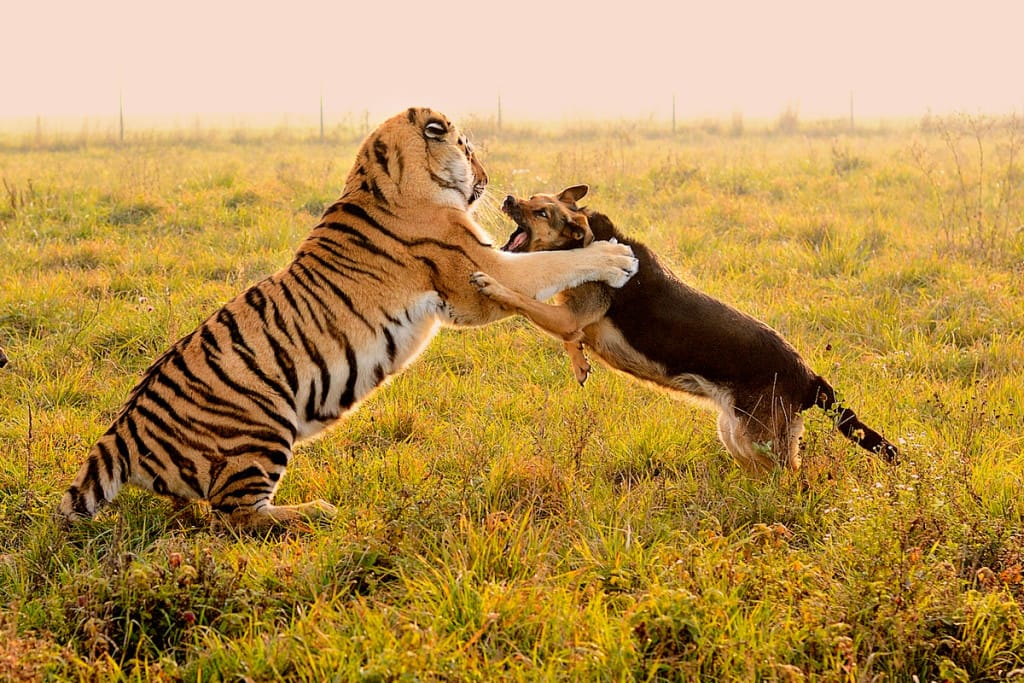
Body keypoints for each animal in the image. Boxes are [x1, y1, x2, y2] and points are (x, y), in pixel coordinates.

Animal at [59, 107, 639, 528]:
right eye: (468, 149)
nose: (489, 178)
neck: (383, 174)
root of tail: (124, 426)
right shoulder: (481, 272)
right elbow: (551, 265)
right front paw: (615, 257)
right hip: (263, 426)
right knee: (235, 516)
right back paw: (315, 512)